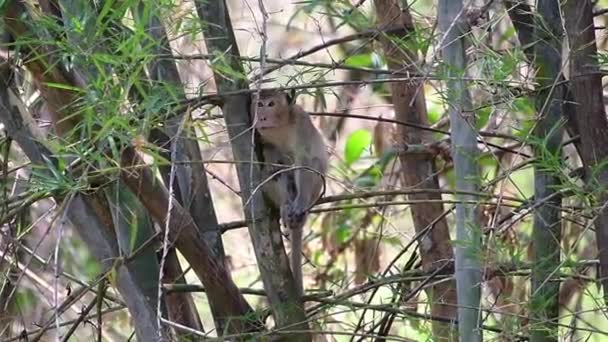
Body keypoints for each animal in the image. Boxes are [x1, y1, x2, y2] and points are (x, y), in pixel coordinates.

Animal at [251, 89, 330, 296]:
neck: (281, 125)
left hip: (316, 190)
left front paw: (299, 203)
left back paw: (298, 207)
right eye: (259, 104)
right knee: (273, 170)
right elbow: (271, 154)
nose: (262, 117)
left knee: (311, 164)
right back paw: (286, 206)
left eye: (271, 104)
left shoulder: (301, 123)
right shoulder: (261, 134)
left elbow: (305, 160)